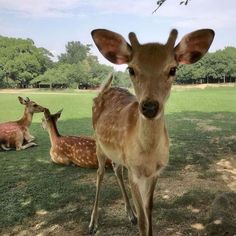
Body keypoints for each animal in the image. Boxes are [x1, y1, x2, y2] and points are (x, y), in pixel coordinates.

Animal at [88, 28, 214, 236]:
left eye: (173, 69)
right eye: (131, 69)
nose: (149, 107)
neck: (148, 154)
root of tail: (101, 92)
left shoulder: (155, 171)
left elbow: (149, 210)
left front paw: (139, 217)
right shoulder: (134, 171)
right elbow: (143, 221)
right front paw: (137, 219)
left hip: (119, 154)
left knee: (116, 168)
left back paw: (129, 214)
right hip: (98, 143)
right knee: (100, 174)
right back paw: (92, 223)